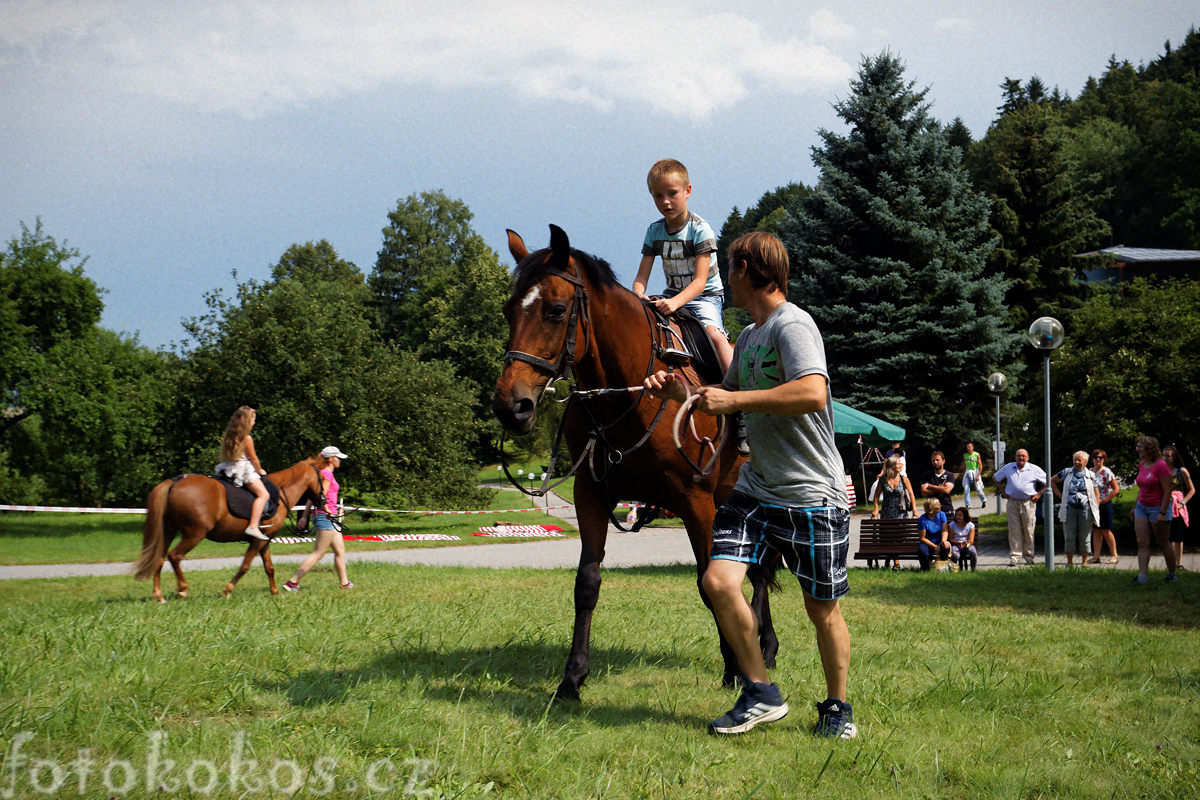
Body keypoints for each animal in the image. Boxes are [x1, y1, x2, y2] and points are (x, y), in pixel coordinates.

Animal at [134, 455, 324, 599]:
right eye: (323, 478)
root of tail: (175, 482)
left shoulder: (265, 540)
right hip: (194, 534)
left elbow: (269, 568)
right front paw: (227, 590)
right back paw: (182, 589)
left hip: (168, 531)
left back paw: (158, 595)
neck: (279, 494)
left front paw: (275, 592)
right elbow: (245, 566)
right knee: (175, 556)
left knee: (159, 558)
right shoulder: (257, 541)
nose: (323, 501)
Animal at [494, 225, 782, 700]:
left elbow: (710, 585)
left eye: (556, 310)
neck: (631, 392)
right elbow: (587, 582)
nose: (509, 405)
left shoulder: (695, 503)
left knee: (757, 575)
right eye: (507, 311)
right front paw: (573, 677)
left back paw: (763, 646)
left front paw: (736, 669)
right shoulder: (591, 495)